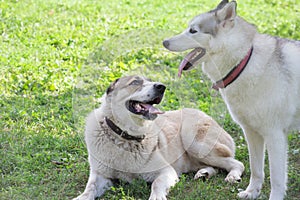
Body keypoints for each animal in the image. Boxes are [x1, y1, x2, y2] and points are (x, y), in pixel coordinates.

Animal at [73, 75, 244, 200]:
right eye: (135, 82)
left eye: (149, 80)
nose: (161, 86)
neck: (125, 138)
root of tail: (208, 116)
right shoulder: (100, 175)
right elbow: (89, 189)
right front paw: (81, 197)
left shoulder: (166, 171)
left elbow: (156, 184)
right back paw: (204, 173)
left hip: (194, 142)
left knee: (236, 163)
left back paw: (232, 176)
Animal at [163, 0, 300, 199]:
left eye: (193, 30)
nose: (164, 42)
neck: (244, 63)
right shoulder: (251, 133)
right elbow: (256, 169)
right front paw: (252, 192)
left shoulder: (275, 136)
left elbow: (276, 178)